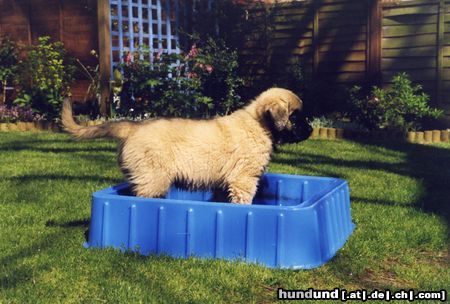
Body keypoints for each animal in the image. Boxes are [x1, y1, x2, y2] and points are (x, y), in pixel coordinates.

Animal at [61, 86, 312, 203]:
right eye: (295, 117)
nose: (310, 130)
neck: (259, 124)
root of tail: (133, 127)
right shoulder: (244, 179)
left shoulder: (226, 181)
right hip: (154, 178)